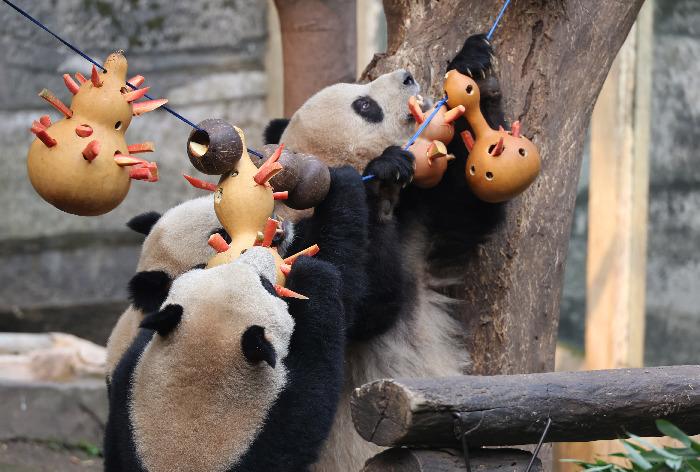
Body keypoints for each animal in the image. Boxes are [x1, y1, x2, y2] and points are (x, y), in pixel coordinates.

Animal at [103, 247, 348, 472]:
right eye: (265, 285)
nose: (257, 250)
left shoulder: (126, 406)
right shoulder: (275, 426)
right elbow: (316, 384)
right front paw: (312, 272)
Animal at [264, 34, 504, 472]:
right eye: (365, 106)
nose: (408, 76)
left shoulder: (421, 224)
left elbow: (469, 208)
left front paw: (476, 68)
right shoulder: (295, 243)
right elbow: (365, 307)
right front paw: (383, 176)